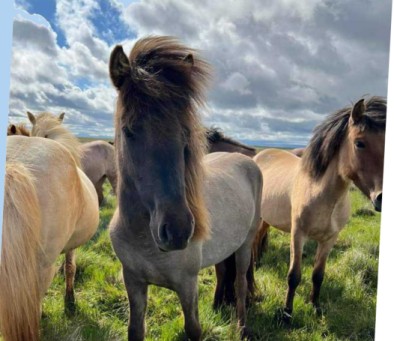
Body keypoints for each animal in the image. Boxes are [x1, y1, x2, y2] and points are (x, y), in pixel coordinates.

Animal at [108, 35, 262, 338]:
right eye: (129, 130)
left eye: (185, 134)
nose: (178, 230)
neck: (143, 239)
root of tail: (244, 159)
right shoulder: (133, 281)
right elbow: (135, 329)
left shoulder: (187, 286)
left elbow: (193, 329)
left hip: (245, 244)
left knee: (240, 282)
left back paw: (242, 327)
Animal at [252, 95, 384, 322]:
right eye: (360, 143)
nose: (383, 197)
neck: (323, 196)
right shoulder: (298, 235)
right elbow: (294, 276)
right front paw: (286, 314)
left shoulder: (329, 239)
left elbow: (318, 275)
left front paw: (315, 306)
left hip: (267, 218)